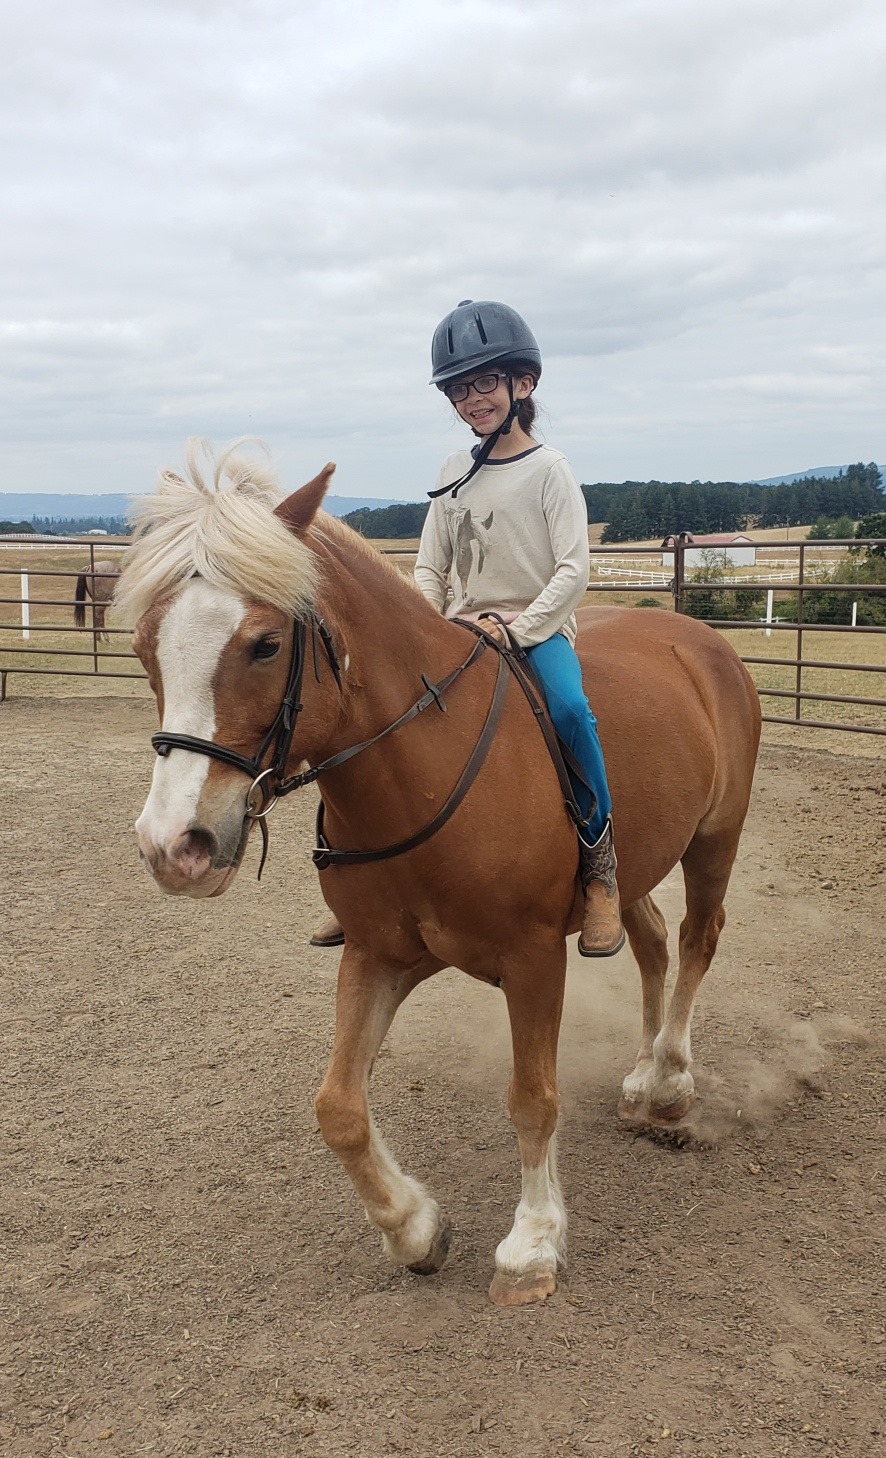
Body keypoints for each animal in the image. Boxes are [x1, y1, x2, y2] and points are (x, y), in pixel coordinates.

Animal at [119, 440, 761, 1307]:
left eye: (264, 644)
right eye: (145, 646)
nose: (172, 845)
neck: (420, 766)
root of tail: (701, 640)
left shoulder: (532, 959)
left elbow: (533, 1098)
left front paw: (532, 1246)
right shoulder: (380, 954)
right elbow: (337, 1106)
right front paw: (415, 1229)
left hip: (714, 841)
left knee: (696, 941)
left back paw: (669, 1083)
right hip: (630, 873)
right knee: (655, 944)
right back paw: (639, 1075)